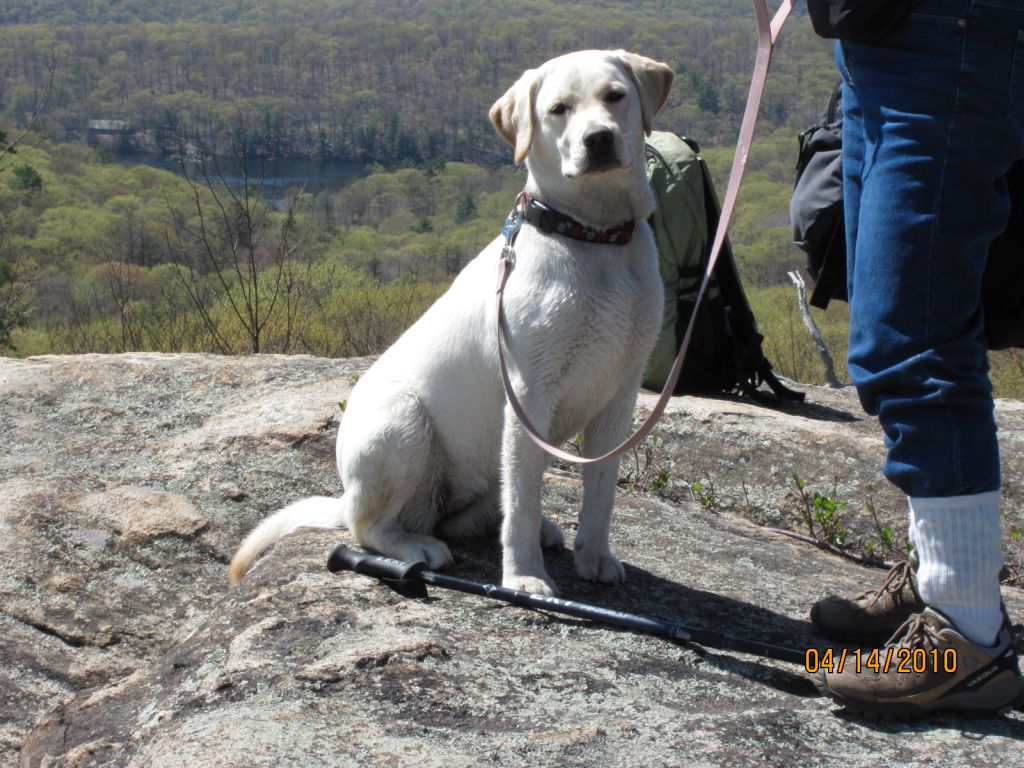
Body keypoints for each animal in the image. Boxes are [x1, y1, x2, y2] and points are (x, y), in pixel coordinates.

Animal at [234, 51, 675, 598]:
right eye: (558, 109)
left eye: (615, 96)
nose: (599, 139)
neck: (594, 235)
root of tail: (345, 496)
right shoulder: (529, 395)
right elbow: (523, 503)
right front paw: (524, 576)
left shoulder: (619, 397)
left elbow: (600, 494)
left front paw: (594, 557)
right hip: (401, 423)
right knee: (371, 526)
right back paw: (416, 547)